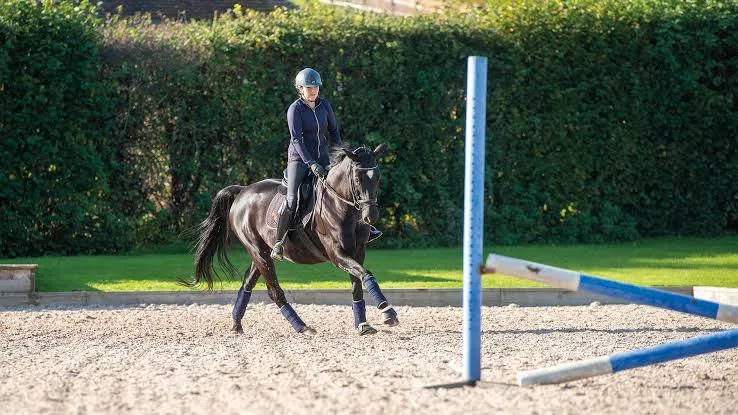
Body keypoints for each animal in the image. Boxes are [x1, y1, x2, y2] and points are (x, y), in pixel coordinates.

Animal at [184, 143, 398, 336]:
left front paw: (363, 324)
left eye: (377, 177)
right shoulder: (337, 253)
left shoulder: (357, 251)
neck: (340, 205)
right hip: (258, 251)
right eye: (357, 178)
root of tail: (243, 191)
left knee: (247, 283)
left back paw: (236, 325)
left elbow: (357, 283)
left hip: (261, 253)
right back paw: (302, 327)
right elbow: (366, 274)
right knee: (274, 291)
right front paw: (388, 312)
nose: (371, 216)